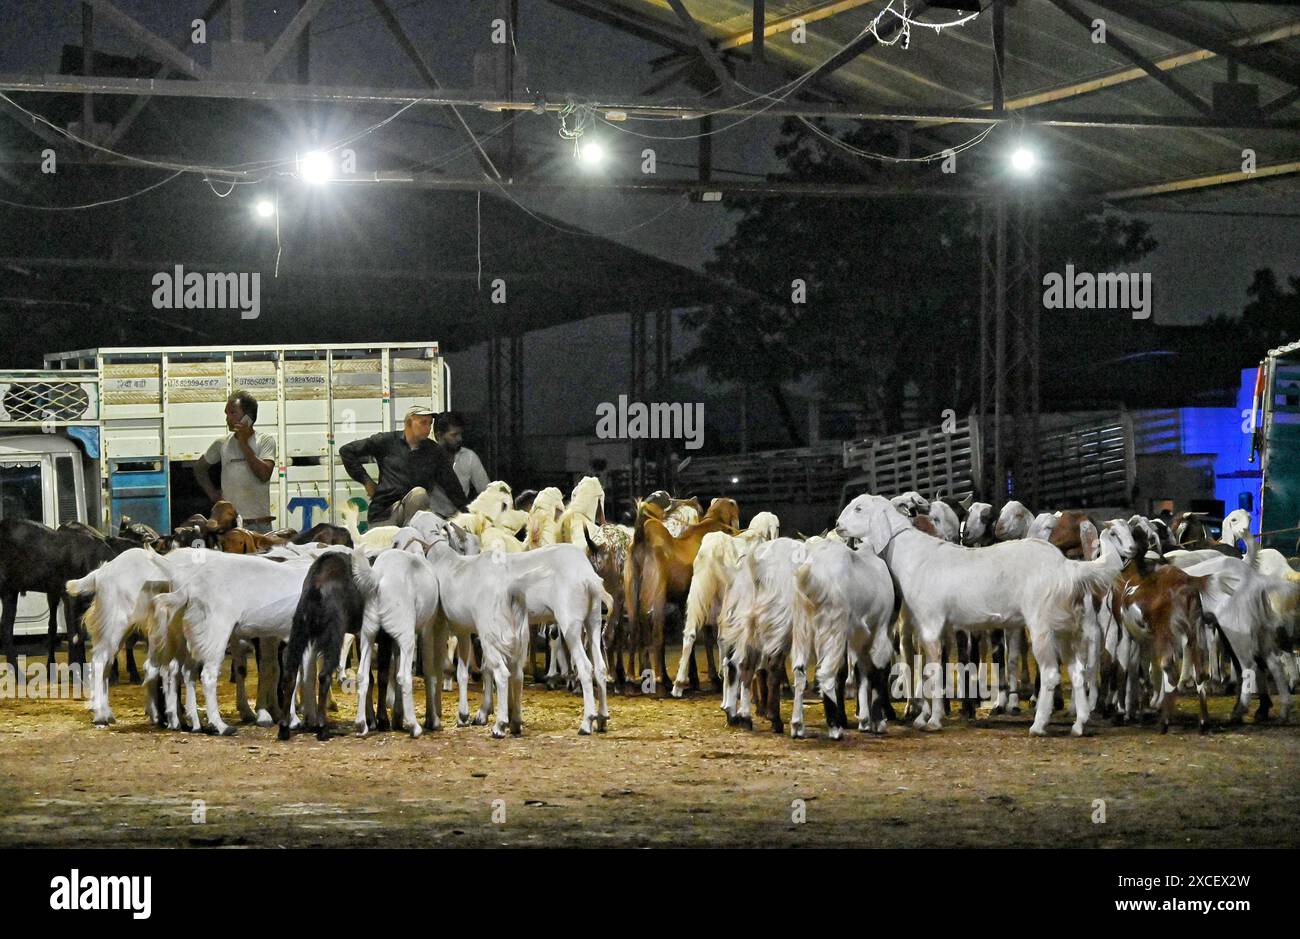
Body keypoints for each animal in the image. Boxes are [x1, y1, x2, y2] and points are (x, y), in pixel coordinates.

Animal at [837, 494, 1133, 733]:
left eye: (859, 508)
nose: (838, 524)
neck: (912, 554)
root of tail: (1067, 567)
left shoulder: (931, 622)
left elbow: (932, 671)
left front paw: (933, 721)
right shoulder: (936, 627)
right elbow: (931, 670)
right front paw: (925, 716)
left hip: (1042, 625)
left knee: (1050, 674)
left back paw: (1038, 725)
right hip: (1064, 628)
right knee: (1078, 671)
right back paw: (1079, 724)